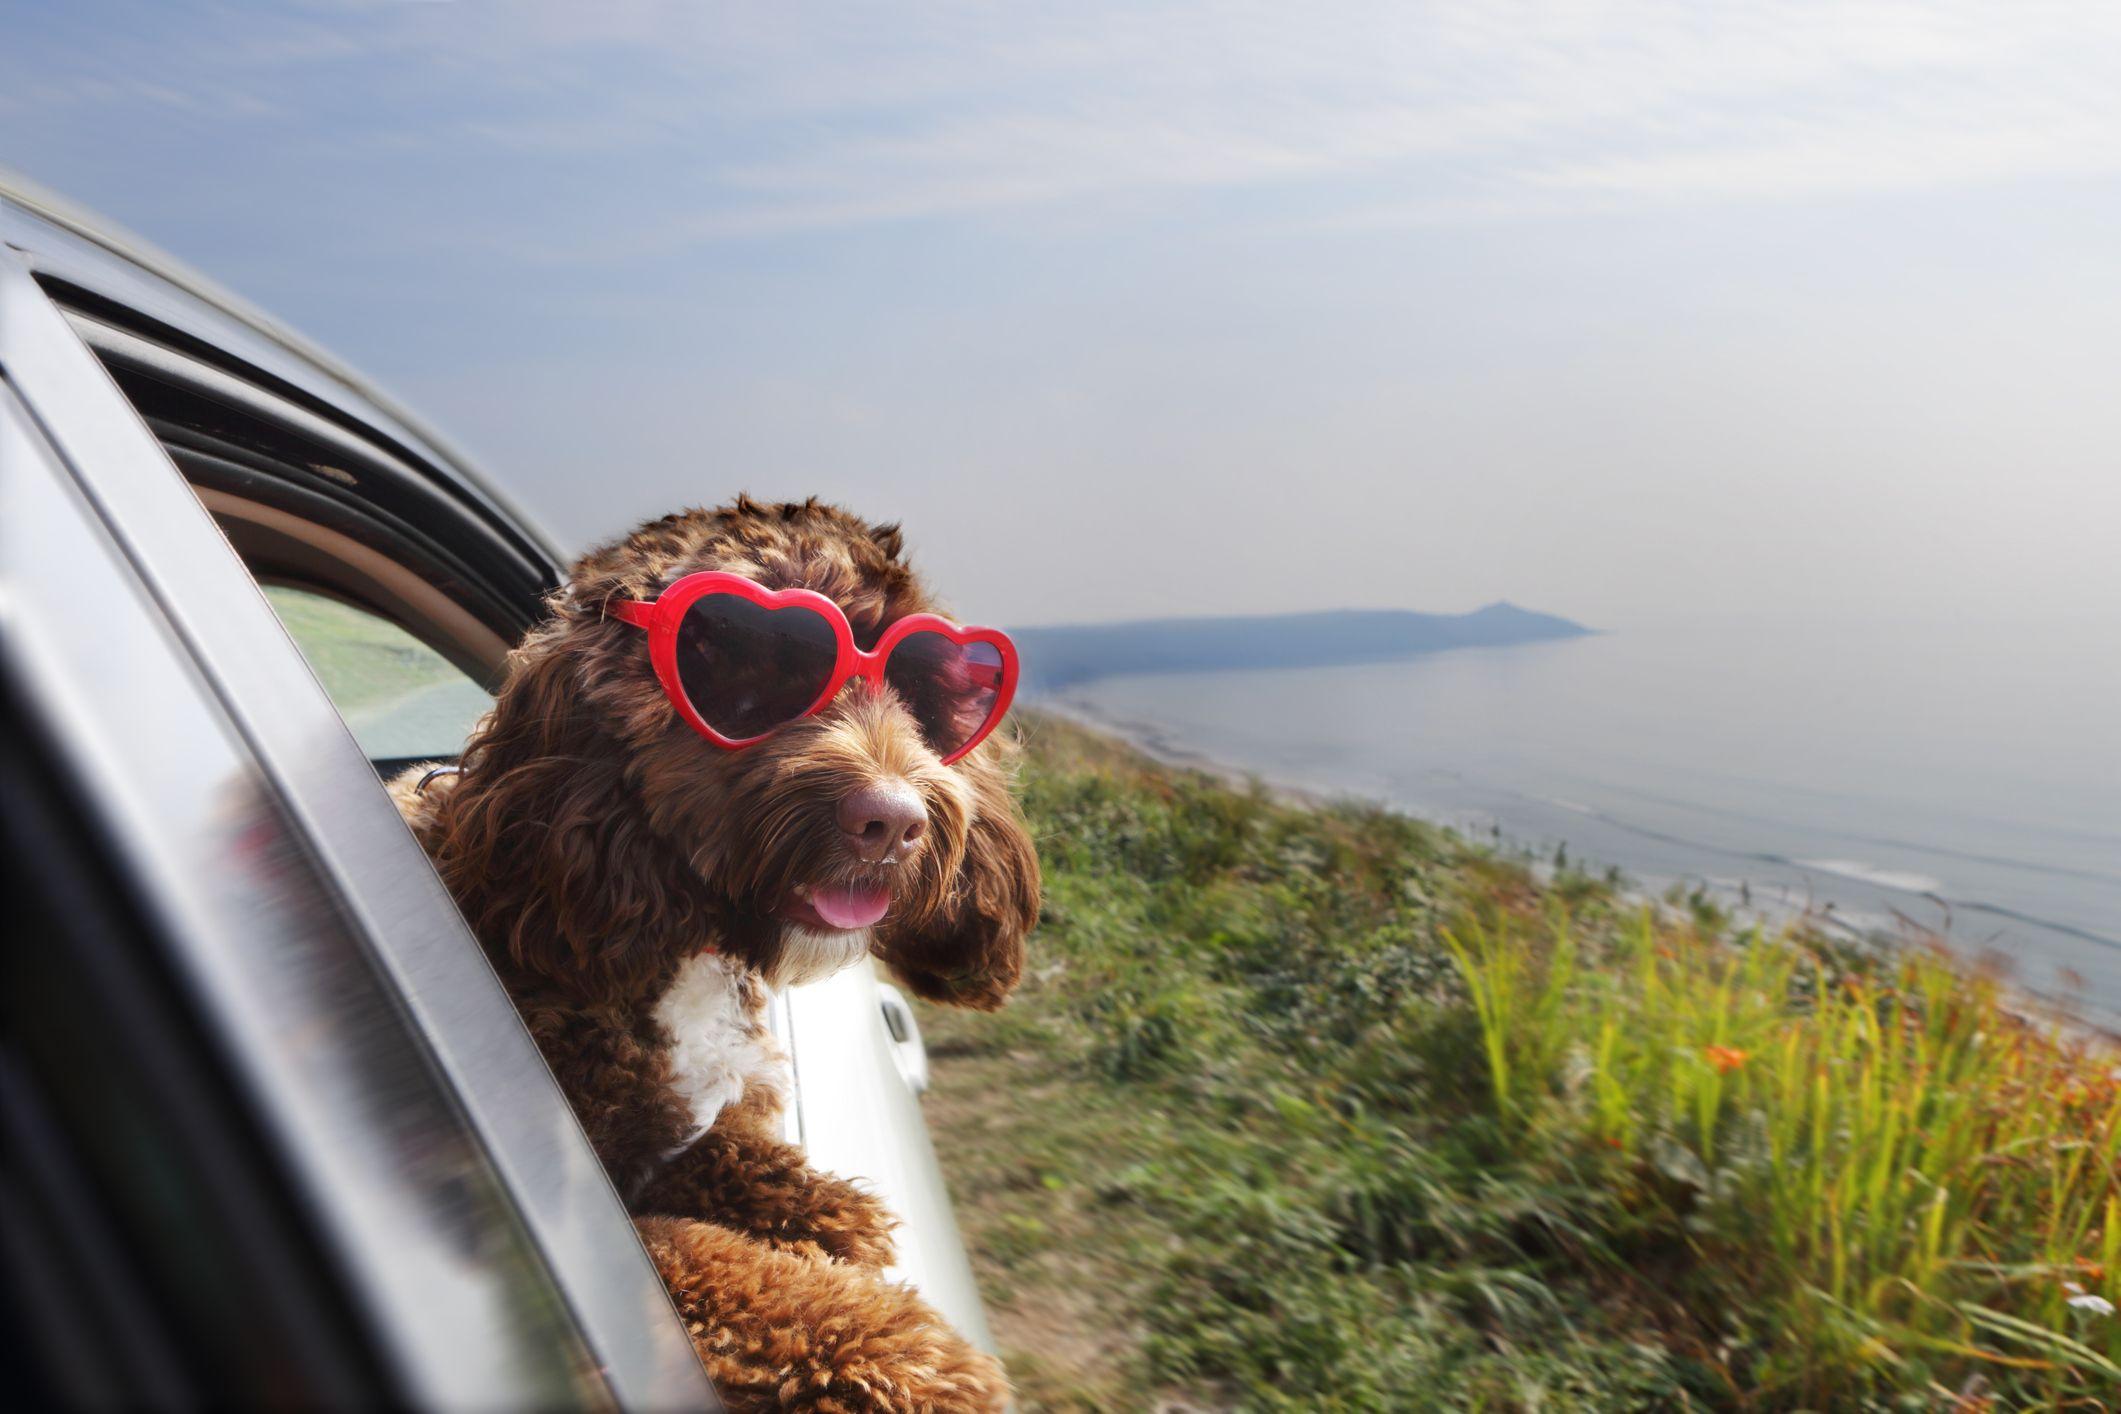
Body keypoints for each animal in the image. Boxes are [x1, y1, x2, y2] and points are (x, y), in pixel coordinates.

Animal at [394, 500, 1039, 1414]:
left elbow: (750, 1165)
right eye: (746, 677)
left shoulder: (680, 1136)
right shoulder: (602, 1217)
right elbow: (720, 1265)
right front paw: (913, 1355)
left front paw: (828, 1215)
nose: (893, 821)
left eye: (926, 692)